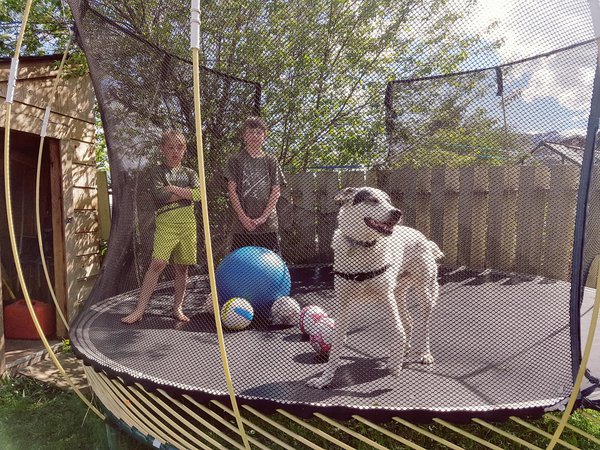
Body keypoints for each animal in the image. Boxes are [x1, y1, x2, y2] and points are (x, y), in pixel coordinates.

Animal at [308, 186, 442, 390]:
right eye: (372, 200)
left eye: (389, 201)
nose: (397, 212)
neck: (362, 246)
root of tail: (423, 238)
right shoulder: (343, 305)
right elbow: (336, 344)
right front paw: (325, 379)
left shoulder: (386, 299)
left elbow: (398, 331)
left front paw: (394, 366)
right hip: (398, 295)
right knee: (408, 321)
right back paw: (404, 349)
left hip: (423, 294)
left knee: (422, 326)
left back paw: (423, 354)